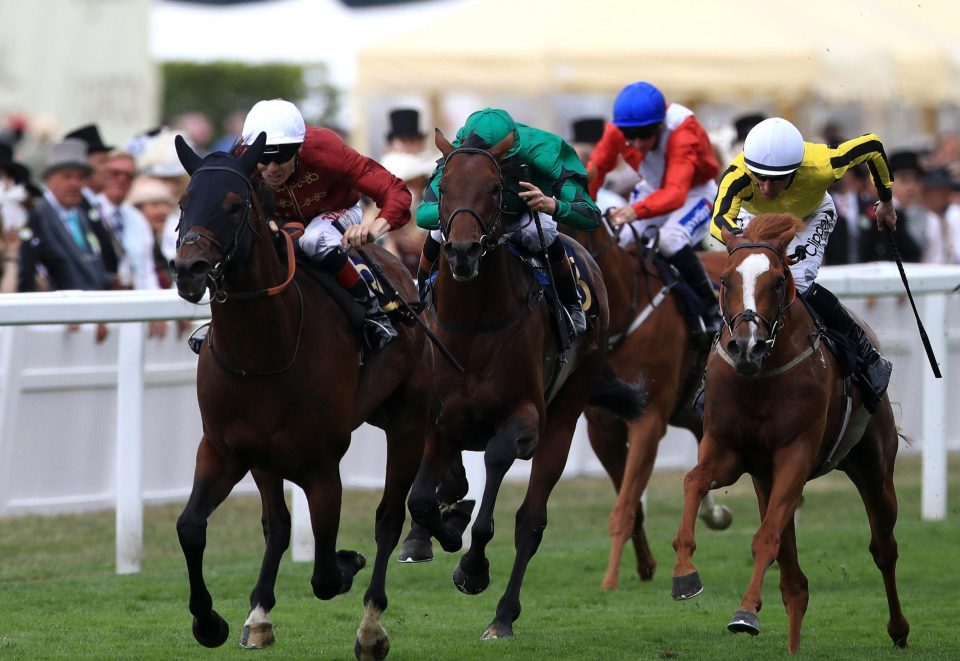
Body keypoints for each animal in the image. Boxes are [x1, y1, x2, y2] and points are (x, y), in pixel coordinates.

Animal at [171, 135, 430, 660]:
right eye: (184, 203)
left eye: (234, 204)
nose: (189, 269)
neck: (262, 350)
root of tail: (401, 267)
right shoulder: (225, 449)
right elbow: (191, 526)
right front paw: (210, 622)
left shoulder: (322, 463)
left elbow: (326, 573)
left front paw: (349, 563)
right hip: (268, 458)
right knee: (278, 525)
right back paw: (259, 616)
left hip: (408, 423)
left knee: (389, 518)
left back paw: (371, 628)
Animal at [408, 129, 648, 640]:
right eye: (442, 185)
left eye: (495, 188)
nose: (461, 251)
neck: (474, 326)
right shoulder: (438, 421)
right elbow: (421, 501)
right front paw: (442, 529)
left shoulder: (526, 419)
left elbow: (497, 471)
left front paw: (472, 567)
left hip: (566, 414)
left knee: (531, 521)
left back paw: (502, 615)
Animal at [568, 219, 732, 592]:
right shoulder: (603, 428)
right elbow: (631, 502)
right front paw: (645, 565)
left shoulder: (648, 420)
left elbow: (626, 504)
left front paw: (610, 580)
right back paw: (714, 513)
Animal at [668, 214, 908, 652]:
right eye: (724, 279)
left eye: (778, 281)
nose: (747, 346)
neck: (759, 378)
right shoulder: (727, 451)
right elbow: (694, 481)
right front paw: (684, 574)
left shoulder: (795, 455)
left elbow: (765, 539)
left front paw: (745, 613)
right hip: (766, 481)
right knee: (795, 581)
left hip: (873, 467)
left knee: (884, 547)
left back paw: (899, 629)